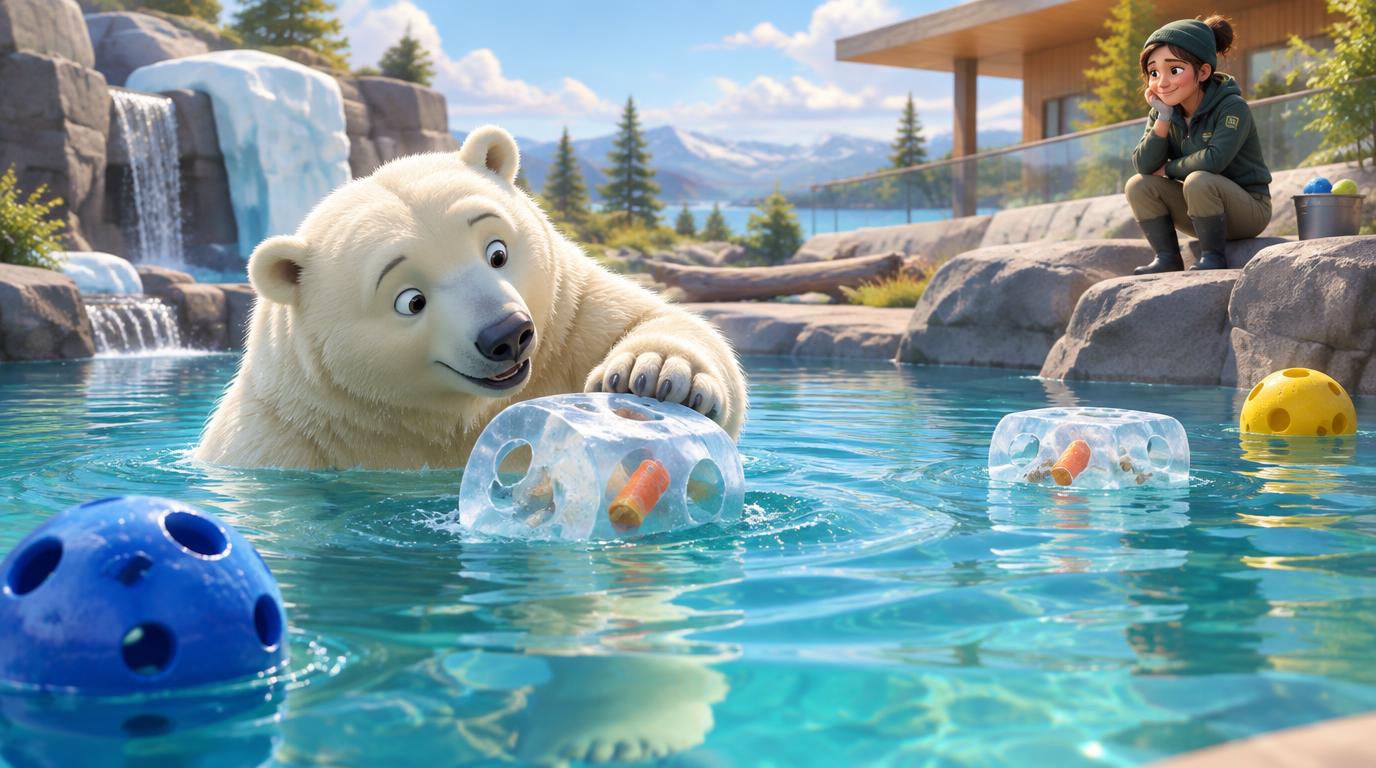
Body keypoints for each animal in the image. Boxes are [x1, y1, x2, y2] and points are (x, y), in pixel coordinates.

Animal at [194, 125, 746, 470]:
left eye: (497, 252)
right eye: (411, 301)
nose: (508, 335)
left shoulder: (566, 323)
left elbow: (646, 318)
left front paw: (655, 375)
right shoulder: (280, 438)